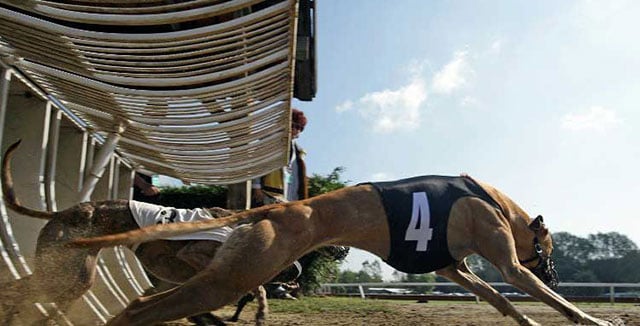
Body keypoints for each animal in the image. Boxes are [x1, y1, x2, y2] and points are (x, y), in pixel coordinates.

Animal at [0, 141, 264, 326]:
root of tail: (59, 214)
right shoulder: (193, 254)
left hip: (75, 277)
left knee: (25, 292)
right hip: (59, 273)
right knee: (15, 290)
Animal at [70, 171, 616, 324]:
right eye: (549, 250)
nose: (554, 271)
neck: (492, 199)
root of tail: (269, 211)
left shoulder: (455, 269)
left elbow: (500, 299)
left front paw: (524, 321)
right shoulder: (509, 264)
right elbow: (554, 302)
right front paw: (592, 318)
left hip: (229, 273)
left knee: (141, 303)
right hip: (231, 278)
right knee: (141, 308)